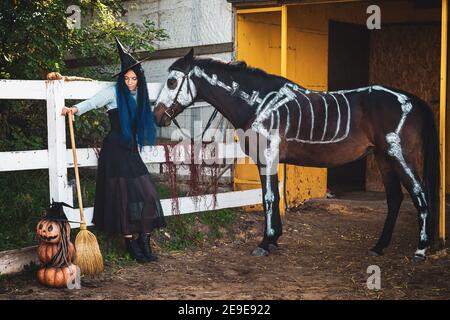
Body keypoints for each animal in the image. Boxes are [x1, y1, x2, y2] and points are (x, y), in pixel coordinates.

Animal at [154, 48, 440, 262]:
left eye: (172, 81)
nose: (158, 116)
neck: (259, 103)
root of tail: (413, 100)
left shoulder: (267, 156)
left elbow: (269, 197)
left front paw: (265, 242)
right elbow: (272, 195)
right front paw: (273, 240)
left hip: (400, 156)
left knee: (420, 194)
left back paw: (420, 250)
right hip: (383, 159)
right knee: (395, 199)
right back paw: (379, 247)